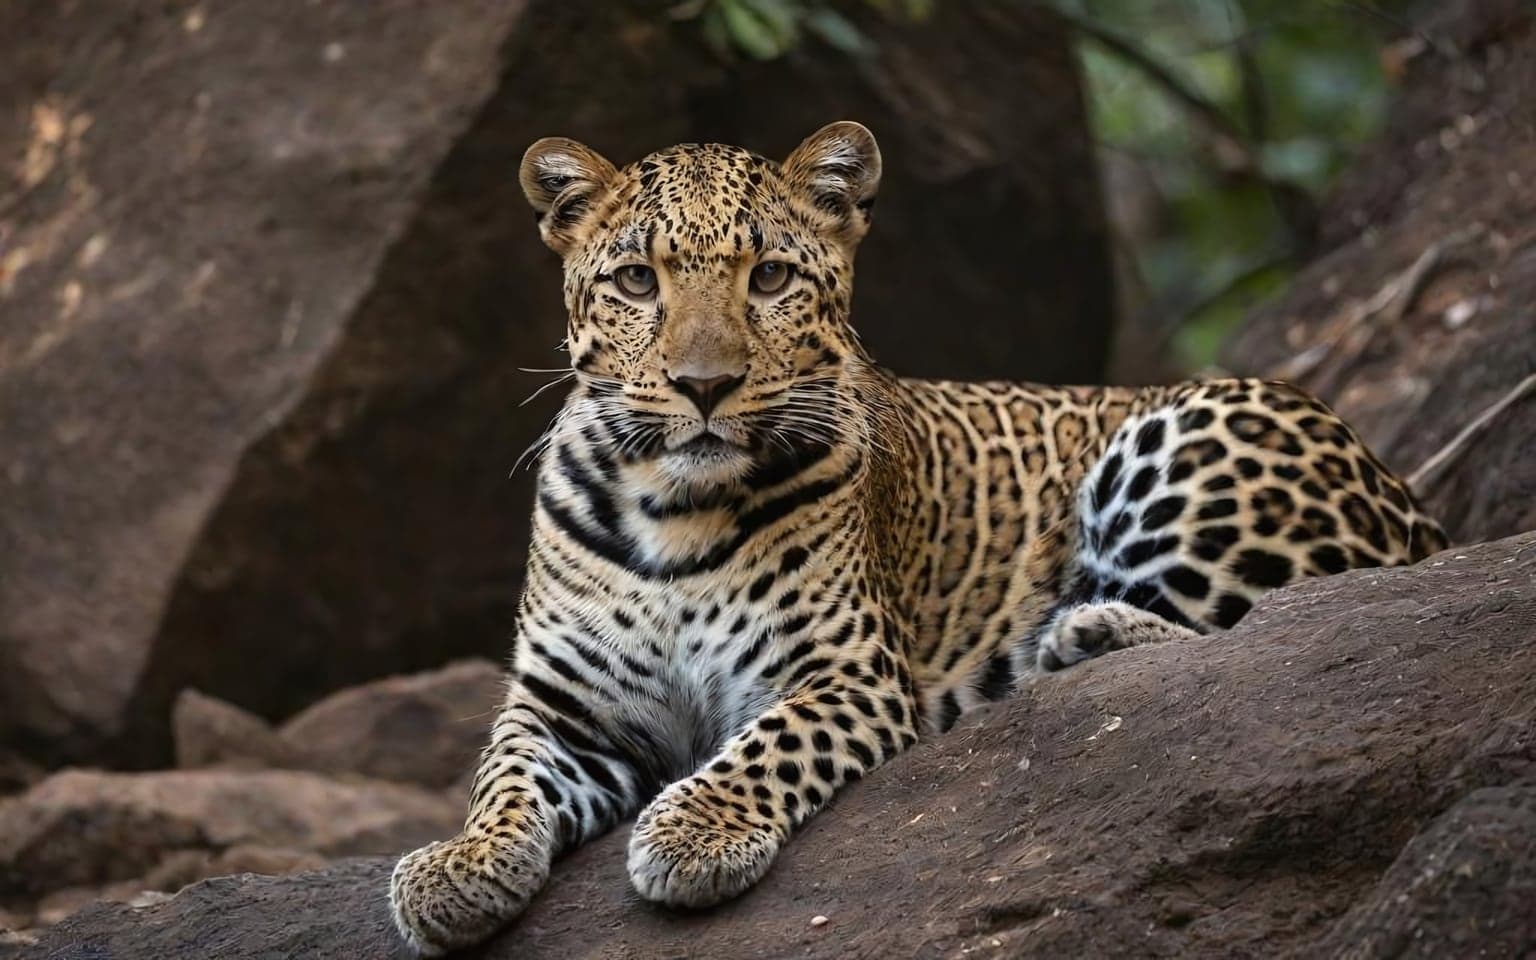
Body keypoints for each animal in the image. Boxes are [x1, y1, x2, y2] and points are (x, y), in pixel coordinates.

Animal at [389, 121, 1446, 954]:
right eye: (637, 280)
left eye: (769, 277)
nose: (704, 386)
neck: (670, 505)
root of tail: (1408, 492)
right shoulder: (566, 707)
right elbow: (502, 776)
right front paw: (456, 868)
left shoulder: (846, 675)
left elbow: (765, 746)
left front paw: (693, 832)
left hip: (1195, 431)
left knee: (1252, 622)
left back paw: (1083, 635)